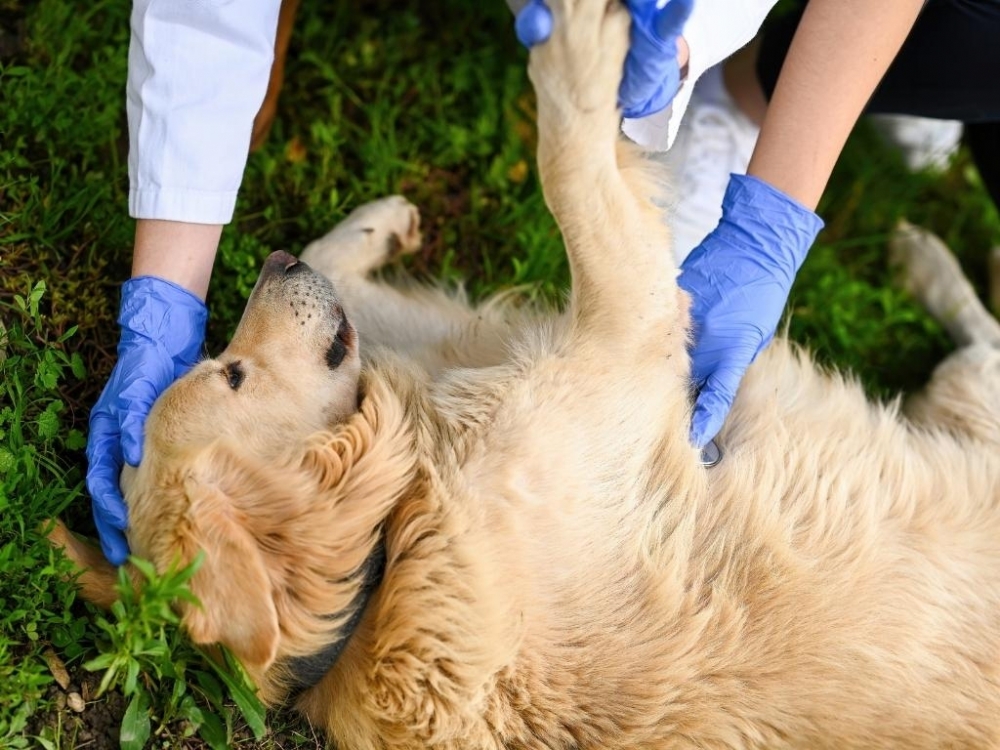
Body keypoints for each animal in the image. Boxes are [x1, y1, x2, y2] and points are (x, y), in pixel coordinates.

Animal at [54, 0, 1000, 748]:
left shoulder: (458, 353)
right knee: (983, 338)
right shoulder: (628, 329)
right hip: (963, 393)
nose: (275, 261)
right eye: (233, 376)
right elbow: (570, 164)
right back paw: (925, 258)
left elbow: (370, 293)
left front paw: (370, 227)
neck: (388, 550)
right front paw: (581, 48)